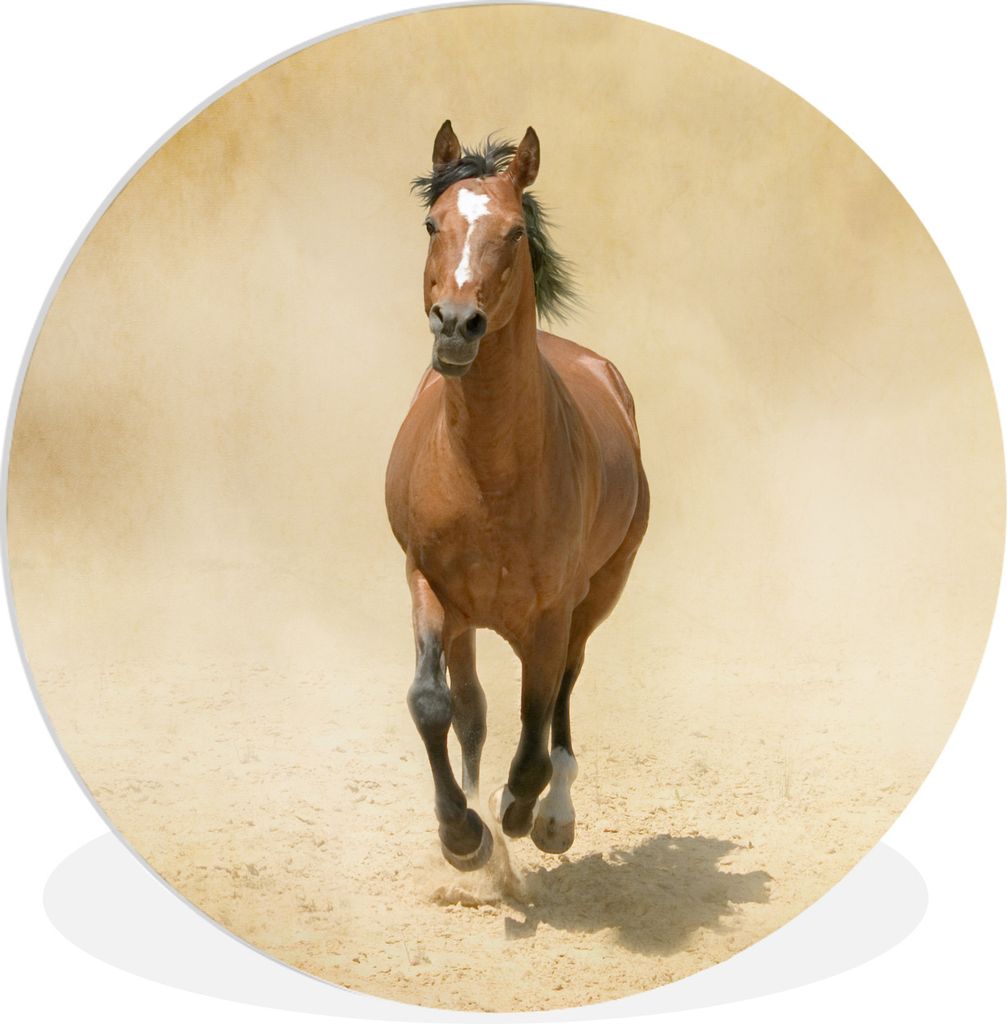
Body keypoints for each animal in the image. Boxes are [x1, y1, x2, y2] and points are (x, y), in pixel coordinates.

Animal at [385, 121, 649, 871]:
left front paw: (519, 813)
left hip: (599, 593)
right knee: (472, 709)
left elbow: (534, 732)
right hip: (468, 615)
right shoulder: (428, 583)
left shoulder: (553, 610)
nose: (455, 324)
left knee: (561, 695)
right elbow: (433, 704)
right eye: (432, 223)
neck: (488, 477)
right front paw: (463, 837)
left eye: (512, 232)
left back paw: (552, 817)